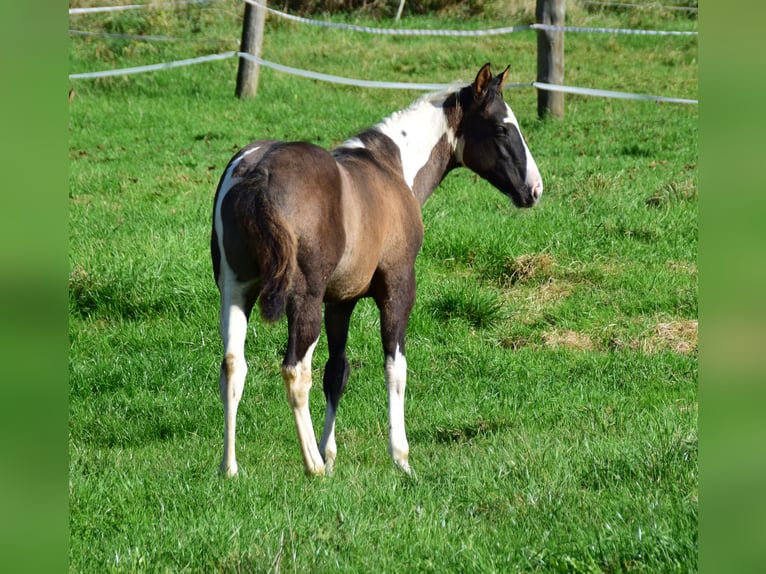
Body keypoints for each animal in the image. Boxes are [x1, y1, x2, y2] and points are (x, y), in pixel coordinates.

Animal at [213, 63, 544, 480]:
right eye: (502, 127)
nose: (534, 189)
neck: (392, 167)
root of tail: (256, 173)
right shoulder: (398, 287)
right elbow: (395, 368)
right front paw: (399, 457)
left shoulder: (340, 301)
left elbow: (337, 372)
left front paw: (331, 453)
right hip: (302, 302)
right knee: (295, 371)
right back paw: (312, 466)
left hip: (236, 290)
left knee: (233, 366)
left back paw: (230, 467)